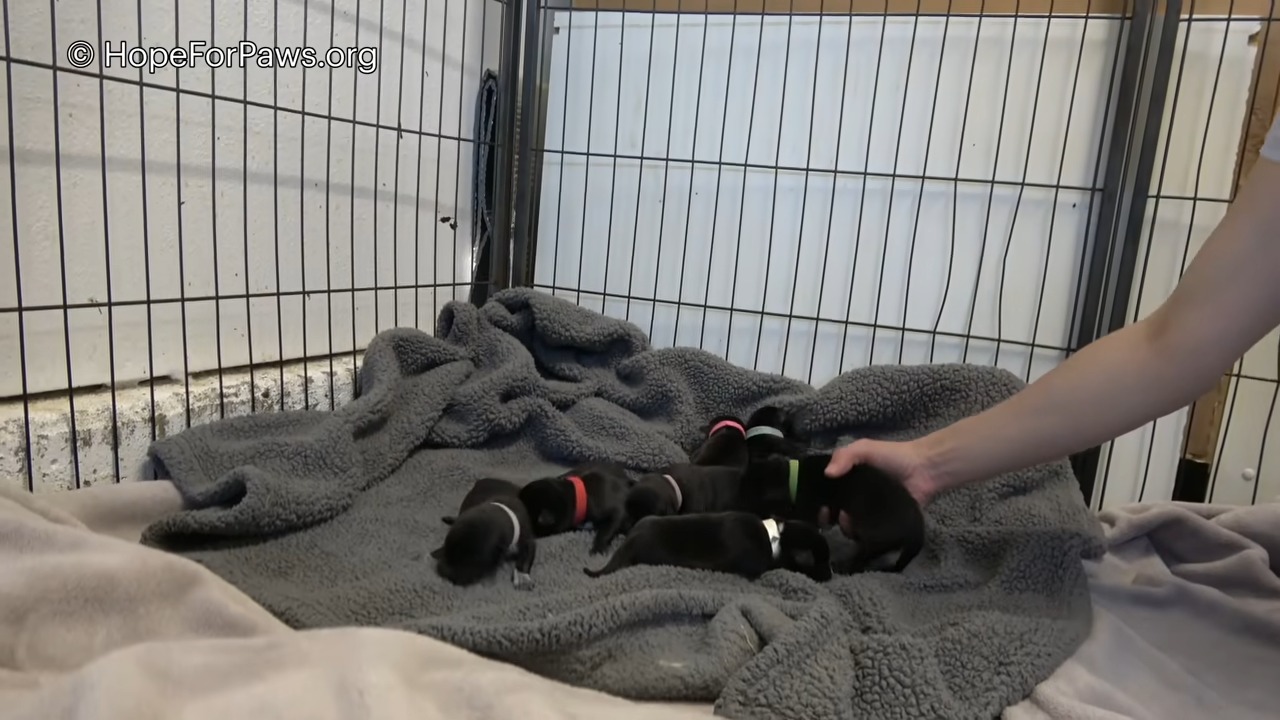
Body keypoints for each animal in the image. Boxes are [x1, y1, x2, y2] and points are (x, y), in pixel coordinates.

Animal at [737, 453, 926, 571]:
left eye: (749, 497)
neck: (792, 477)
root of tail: (918, 528)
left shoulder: (806, 510)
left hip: (876, 539)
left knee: (862, 558)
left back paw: (844, 567)